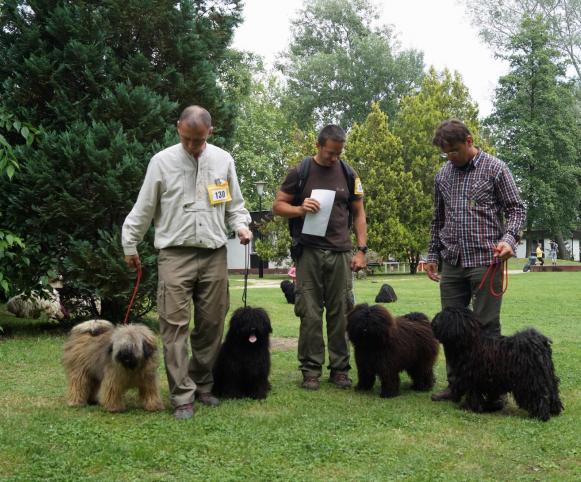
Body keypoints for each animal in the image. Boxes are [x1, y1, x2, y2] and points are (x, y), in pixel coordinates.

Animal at [430, 306, 560, 420]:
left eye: (442, 316)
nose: (433, 322)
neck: (470, 343)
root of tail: (539, 343)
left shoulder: (473, 377)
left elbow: (473, 394)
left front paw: (469, 407)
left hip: (531, 378)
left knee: (539, 395)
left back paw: (541, 415)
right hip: (547, 376)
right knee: (552, 392)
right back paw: (554, 410)